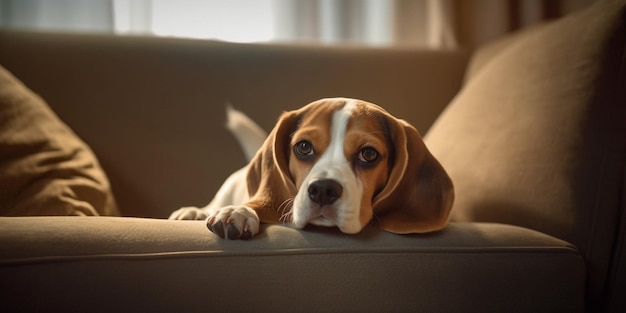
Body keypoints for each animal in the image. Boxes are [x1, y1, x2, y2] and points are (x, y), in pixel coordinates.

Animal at [169, 98, 454, 239]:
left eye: (369, 154)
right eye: (303, 147)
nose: (323, 190)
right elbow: (253, 205)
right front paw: (238, 212)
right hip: (227, 188)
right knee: (212, 203)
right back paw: (193, 212)